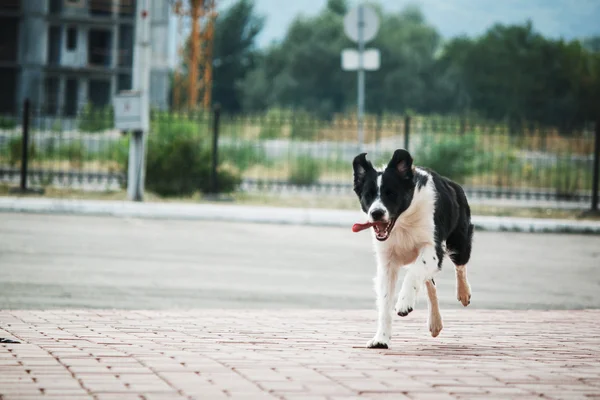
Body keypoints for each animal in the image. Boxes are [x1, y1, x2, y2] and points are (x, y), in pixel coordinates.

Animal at [352, 148, 474, 348]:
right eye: (368, 195)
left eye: (391, 193)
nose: (376, 213)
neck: (402, 222)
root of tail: (453, 184)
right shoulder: (387, 263)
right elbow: (385, 302)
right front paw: (381, 339)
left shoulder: (433, 248)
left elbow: (414, 272)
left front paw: (404, 303)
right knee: (431, 285)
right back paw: (435, 323)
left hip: (459, 240)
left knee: (460, 266)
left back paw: (463, 294)